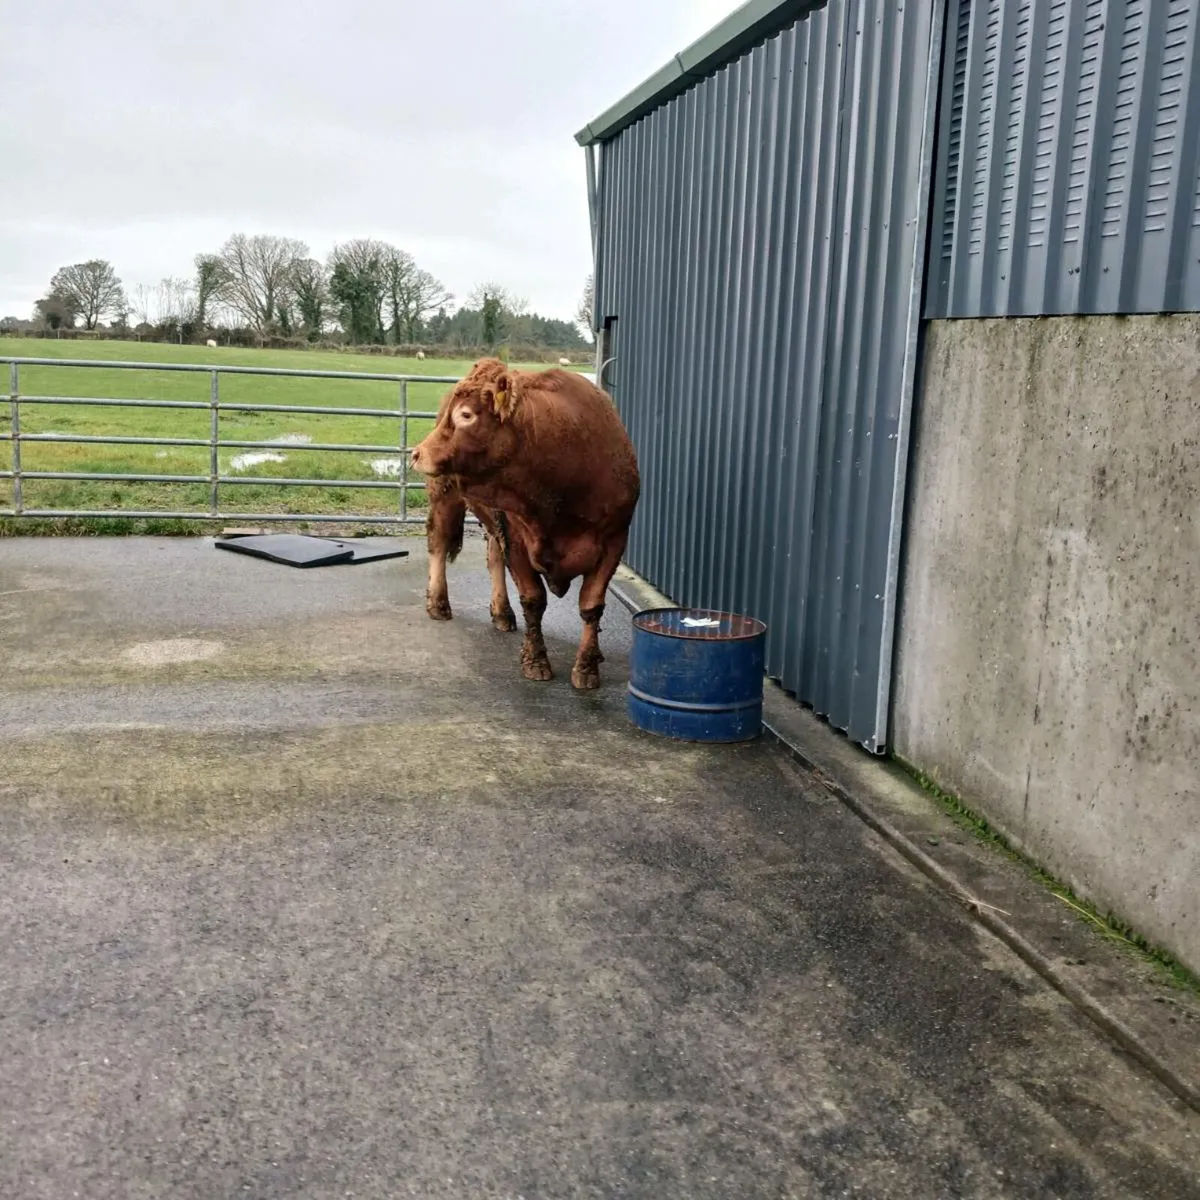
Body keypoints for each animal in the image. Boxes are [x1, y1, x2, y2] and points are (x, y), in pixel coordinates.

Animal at [410, 357, 639, 690]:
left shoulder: (614, 541)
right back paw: (438, 604)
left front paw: (586, 668)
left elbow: (591, 605)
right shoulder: (517, 538)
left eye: (466, 415)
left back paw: (502, 612)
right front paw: (535, 661)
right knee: (439, 543)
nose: (417, 453)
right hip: (445, 493)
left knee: (493, 557)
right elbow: (533, 600)